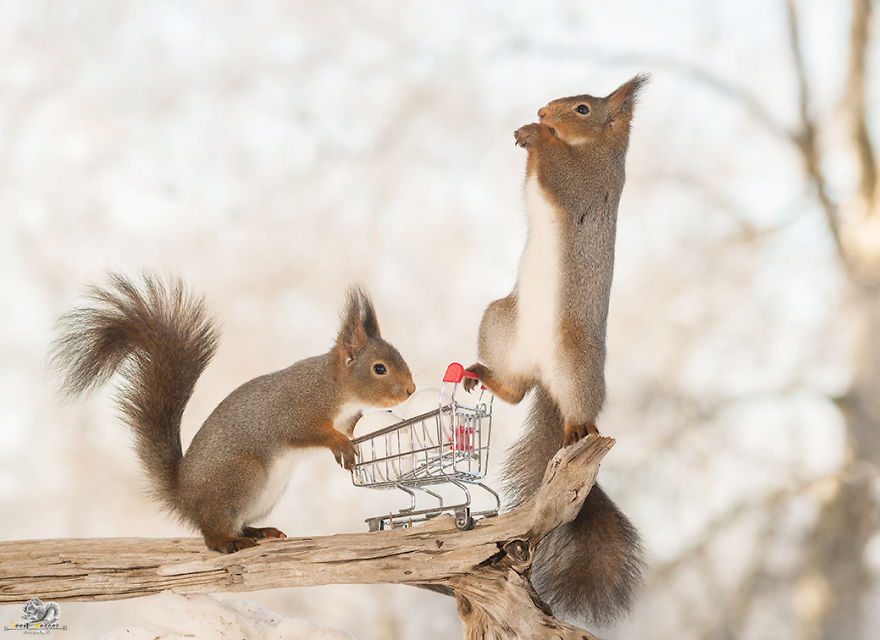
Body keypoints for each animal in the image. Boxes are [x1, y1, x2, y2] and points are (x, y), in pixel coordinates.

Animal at [50, 274, 416, 553]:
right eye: (379, 368)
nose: (411, 390)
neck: (338, 389)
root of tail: (185, 495)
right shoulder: (296, 408)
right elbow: (309, 431)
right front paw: (340, 446)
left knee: (237, 524)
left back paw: (257, 532)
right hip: (241, 475)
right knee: (212, 532)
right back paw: (228, 542)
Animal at [462, 75, 649, 626]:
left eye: (583, 108)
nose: (545, 109)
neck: (595, 149)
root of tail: (547, 376)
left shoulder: (584, 181)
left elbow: (557, 174)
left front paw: (538, 134)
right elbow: (531, 181)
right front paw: (529, 132)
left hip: (574, 357)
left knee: (580, 412)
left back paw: (576, 428)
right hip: (500, 323)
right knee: (516, 390)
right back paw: (490, 378)